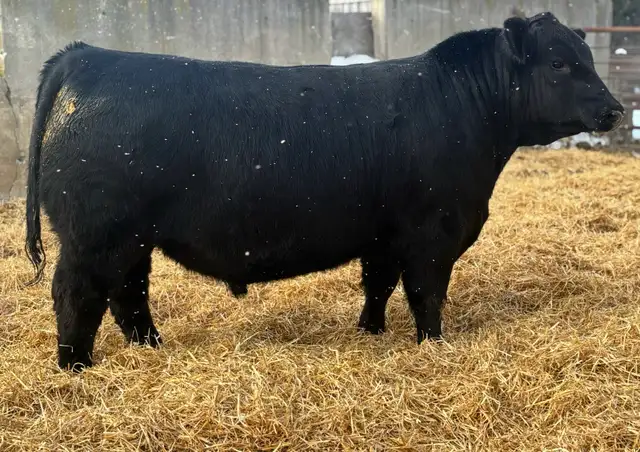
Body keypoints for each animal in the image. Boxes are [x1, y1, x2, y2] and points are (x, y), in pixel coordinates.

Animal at [24, 12, 624, 372]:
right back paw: (76, 367)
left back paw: (151, 349)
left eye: (589, 59)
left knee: (128, 295)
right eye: (559, 62)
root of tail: (87, 55)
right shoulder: (432, 233)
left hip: (131, 239)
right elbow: (426, 294)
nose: (616, 109)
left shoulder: (384, 234)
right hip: (96, 236)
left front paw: (371, 333)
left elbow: (378, 286)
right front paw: (433, 345)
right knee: (78, 294)